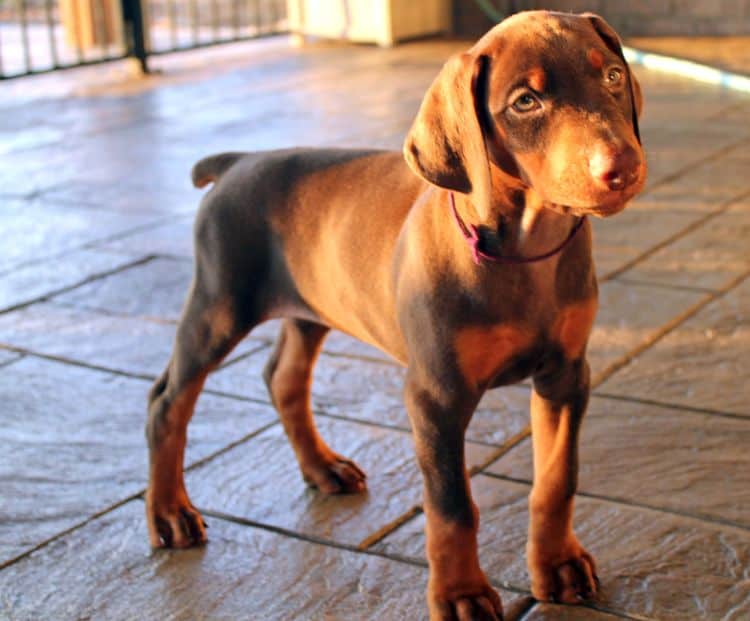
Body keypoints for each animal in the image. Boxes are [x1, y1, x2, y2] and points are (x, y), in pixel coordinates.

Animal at [145, 10, 648, 620]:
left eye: (613, 76)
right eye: (526, 102)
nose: (623, 166)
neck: (526, 248)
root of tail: (240, 161)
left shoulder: (566, 375)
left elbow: (557, 479)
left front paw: (558, 565)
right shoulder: (435, 396)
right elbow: (451, 506)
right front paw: (461, 595)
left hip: (312, 304)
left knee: (283, 378)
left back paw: (322, 467)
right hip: (219, 305)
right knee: (168, 400)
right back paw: (170, 513)